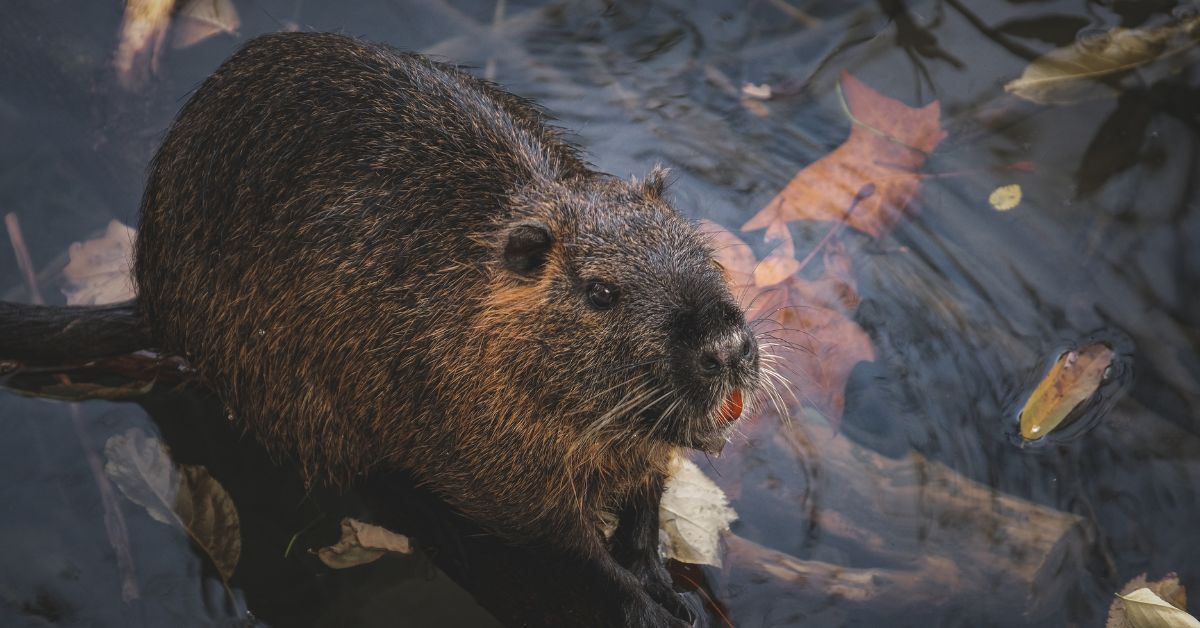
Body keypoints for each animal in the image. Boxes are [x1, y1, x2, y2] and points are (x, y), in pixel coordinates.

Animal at [77, 31, 768, 624]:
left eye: (693, 242)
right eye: (600, 292)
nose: (726, 347)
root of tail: (151, 305)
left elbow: (644, 506)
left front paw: (666, 584)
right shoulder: (488, 458)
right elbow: (565, 545)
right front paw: (651, 605)